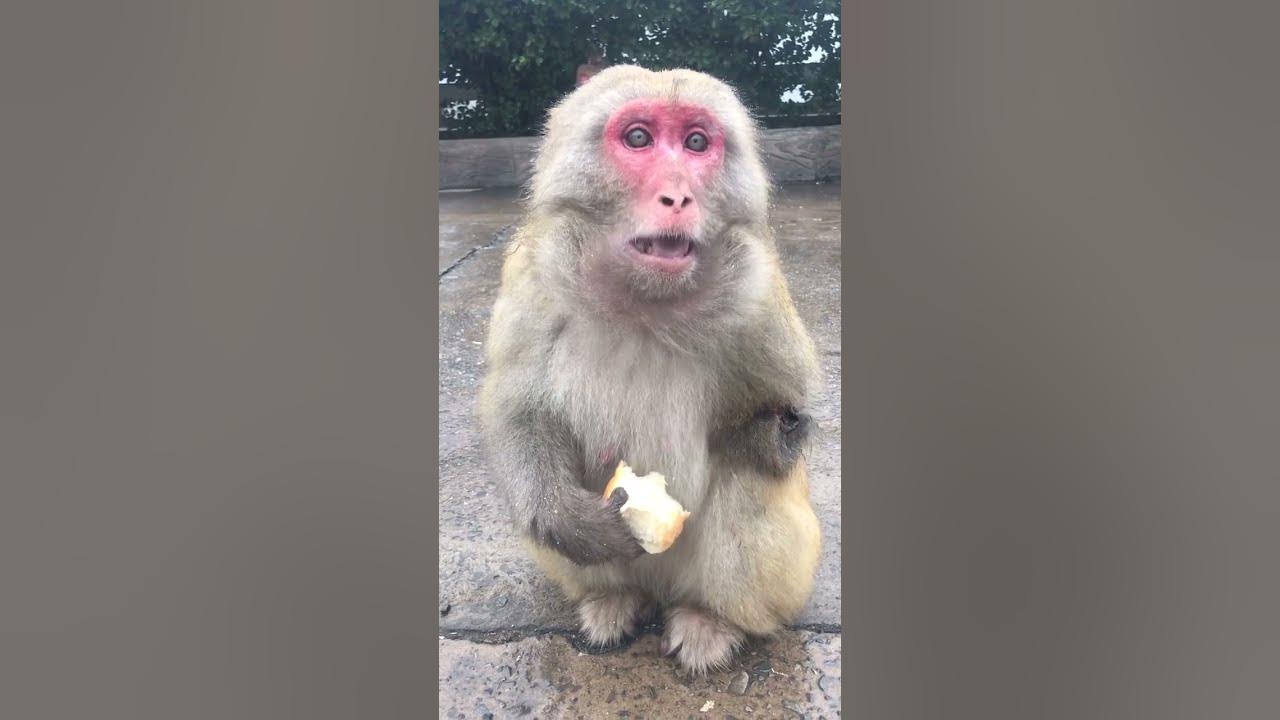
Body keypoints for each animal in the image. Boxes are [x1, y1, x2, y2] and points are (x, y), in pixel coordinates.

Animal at [477, 65, 823, 674]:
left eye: (696, 142)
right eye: (638, 138)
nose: (678, 195)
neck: (647, 303)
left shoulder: (760, 290)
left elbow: (783, 418)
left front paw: (765, 431)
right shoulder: (533, 273)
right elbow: (516, 402)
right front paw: (560, 516)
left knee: (746, 484)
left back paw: (713, 619)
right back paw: (613, 599)